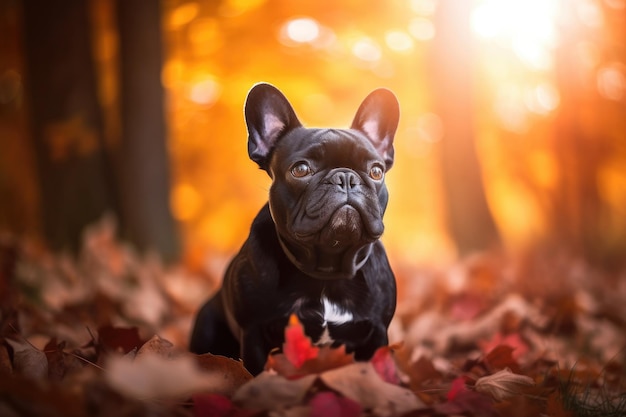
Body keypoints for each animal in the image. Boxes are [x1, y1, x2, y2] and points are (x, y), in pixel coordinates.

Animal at [188, 82, 398, 374]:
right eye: (301, 169)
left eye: (376, 171)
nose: (345, 177)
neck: (326, 270)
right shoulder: (253, 333)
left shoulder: (377, 334)